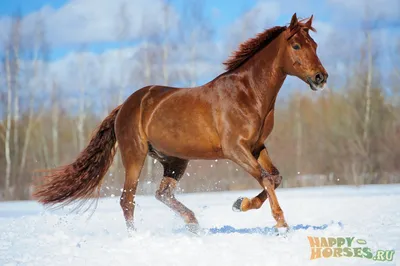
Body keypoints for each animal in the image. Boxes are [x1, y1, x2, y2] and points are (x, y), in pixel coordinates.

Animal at [33, 14, 328, 235]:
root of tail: (126, 105)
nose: (321, 77)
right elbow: (266, 179)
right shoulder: (235, 149)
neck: (248, 93)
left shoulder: (257, 146)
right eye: (297, 46)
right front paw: (281, 224)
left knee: (162, 194)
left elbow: (275, 178)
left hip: (175, 161)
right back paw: (136, 237)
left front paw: (239, 204)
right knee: (127, 200)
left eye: (315, 45)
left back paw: (194, 224)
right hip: (135, 155)